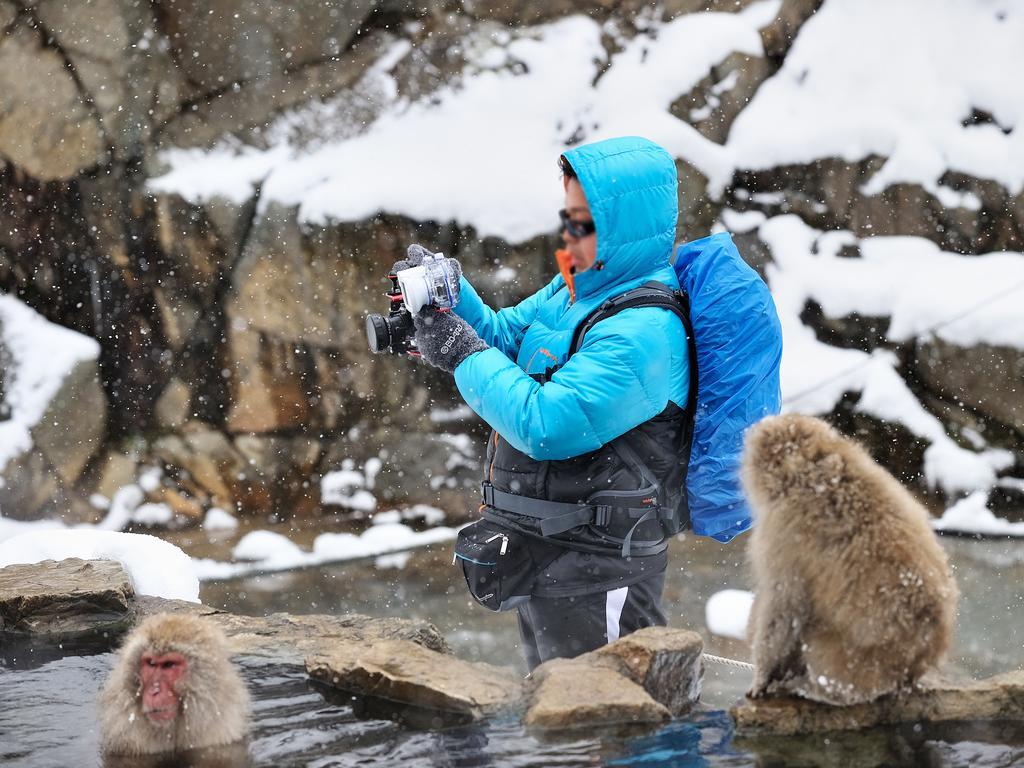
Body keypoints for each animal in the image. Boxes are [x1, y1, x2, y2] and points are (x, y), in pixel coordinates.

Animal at [741, 417, 954, 708]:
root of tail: (917, 662)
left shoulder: (782, 534)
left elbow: (784, 608)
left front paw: (761, 676)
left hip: (855, 667)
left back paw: (813, 689)